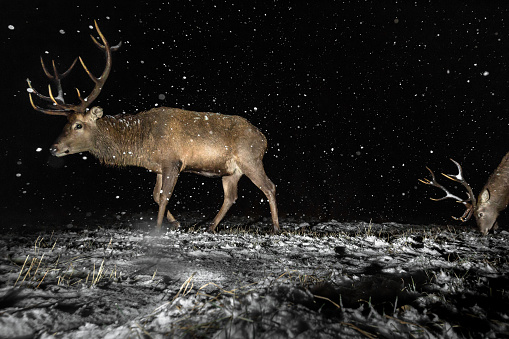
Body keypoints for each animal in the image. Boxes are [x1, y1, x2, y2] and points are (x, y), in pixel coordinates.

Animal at [26, 20, 280, 234]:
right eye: (65, 123)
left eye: (78, 125)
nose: (54, 148)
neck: (141, 144)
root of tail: (264, 138)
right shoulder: (158, 166)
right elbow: (156, 196)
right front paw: (176, 223)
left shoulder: (173, 161)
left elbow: (165, 195)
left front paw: (158, 229)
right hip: (231, 170)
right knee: (231, 196)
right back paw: (210, 226)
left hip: (250, 158)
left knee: (269, 186)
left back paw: (276, 227)